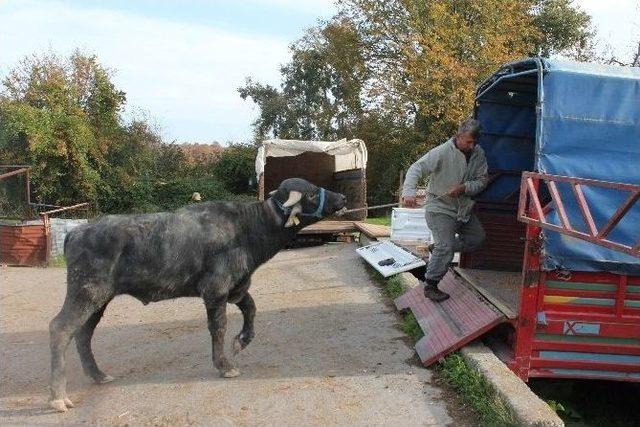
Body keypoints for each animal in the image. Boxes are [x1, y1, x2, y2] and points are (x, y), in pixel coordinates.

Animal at [47, 177, 348, 412]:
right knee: (60, 329)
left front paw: (241, 341)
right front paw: (224, 365)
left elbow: (251, 309)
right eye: (311, 193)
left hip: (99, 299)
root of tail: (77, 231)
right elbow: (218, 327)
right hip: (86, 292)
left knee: (83, 334)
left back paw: (98, 375)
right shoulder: (215, 290)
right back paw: (58, 396)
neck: (247, 229)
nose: (342, 197)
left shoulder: (237, 288)